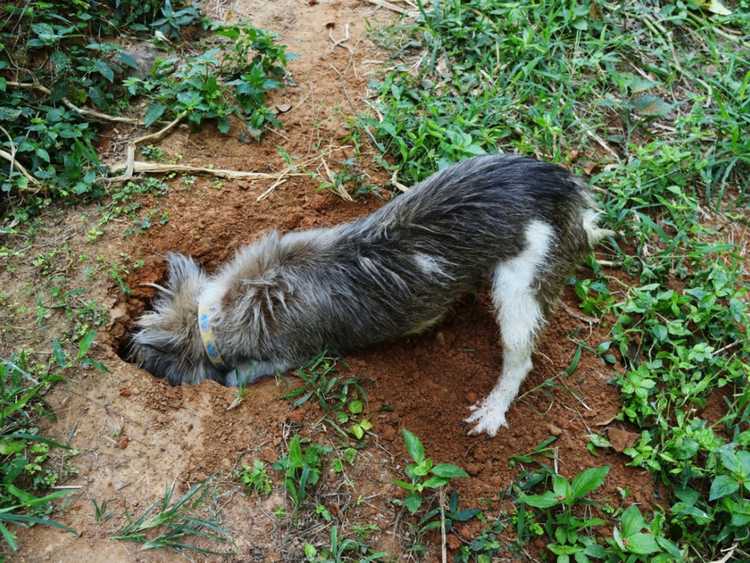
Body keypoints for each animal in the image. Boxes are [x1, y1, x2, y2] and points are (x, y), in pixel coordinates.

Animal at [129, 153, 612, 436]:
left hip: (521, 284)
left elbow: (236, 376)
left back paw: (493, 409)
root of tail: (565, 185)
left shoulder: (290, 354)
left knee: (519, 356)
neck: (221, 309)